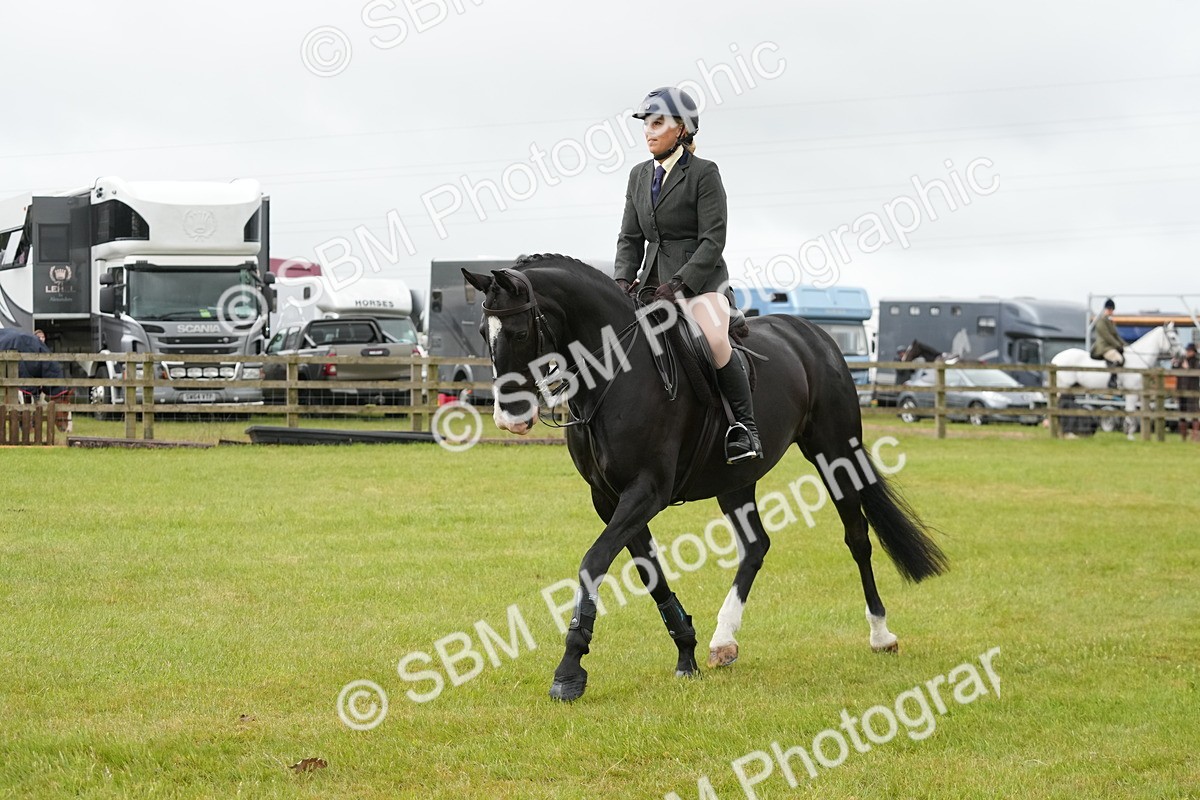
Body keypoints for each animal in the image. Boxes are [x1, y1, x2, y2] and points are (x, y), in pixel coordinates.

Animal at [462, 255, 948, 702]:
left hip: (834, 453)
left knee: (857, 537)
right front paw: (686, 651)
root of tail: (813, 335)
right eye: (483, 334)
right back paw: (723, 641)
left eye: (519, 333)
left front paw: (570, 669)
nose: (509, 420)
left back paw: (881, 634)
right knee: (755, 545)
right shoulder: (609, 498)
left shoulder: (646, 491)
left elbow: (593, 563)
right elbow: (650, 572)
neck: (616, 375)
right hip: (736, 479)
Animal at [1051, 324, 1182, 437]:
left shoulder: (1139, 392)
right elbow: (1130, 412)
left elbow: (1141, 411)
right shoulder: (1131, 391)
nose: (1182, 354)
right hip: (1063, 387)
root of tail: (1056, 358)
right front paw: (1129, 435)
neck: (1138, 359)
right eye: (1173, 337)